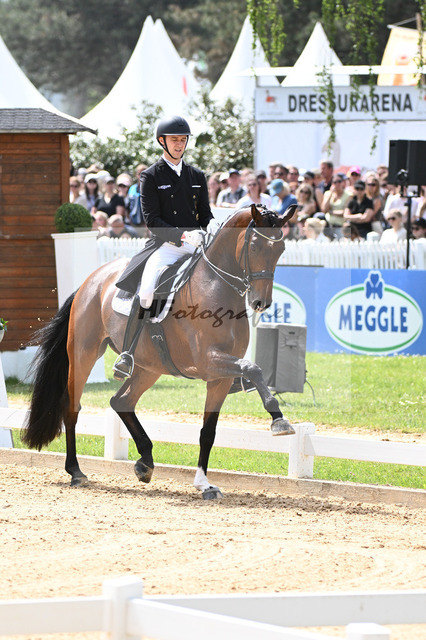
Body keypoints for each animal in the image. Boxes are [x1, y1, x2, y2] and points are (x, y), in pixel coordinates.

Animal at [22, 204, 297, 500]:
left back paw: (145, 463)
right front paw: (279, 421)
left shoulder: (219, 378)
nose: (261, 302)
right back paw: (76, 471)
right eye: (255, 245)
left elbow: (208, 432)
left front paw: (204, 484)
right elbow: (253, 368)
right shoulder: (208, 362)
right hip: (85, 353)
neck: (217, 286)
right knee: (72, 407)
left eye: (280, 249)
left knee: (122, 401)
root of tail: (91, 280)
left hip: (147, 368)